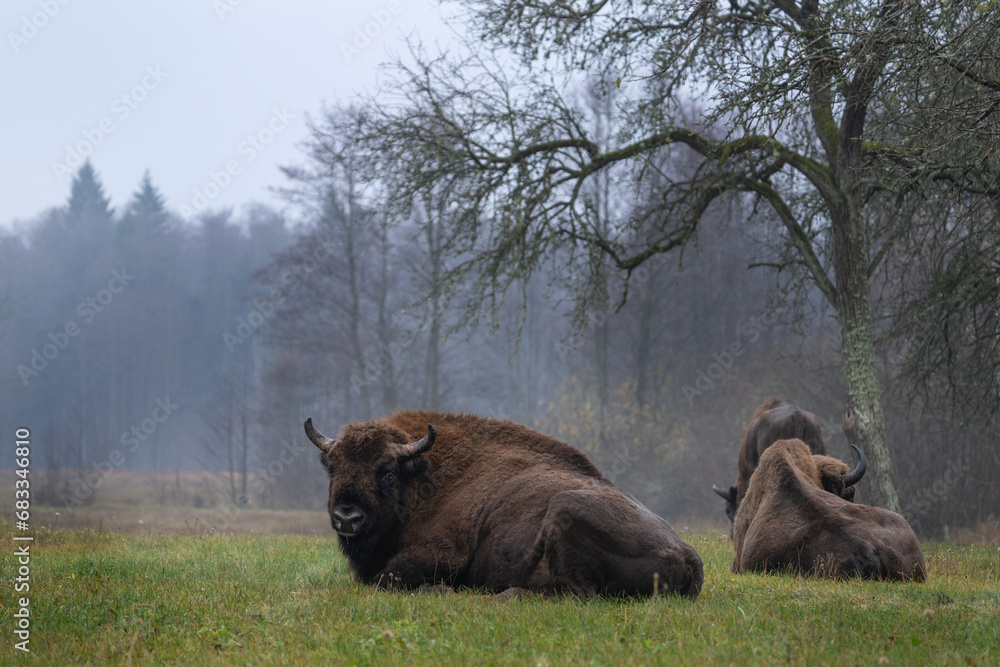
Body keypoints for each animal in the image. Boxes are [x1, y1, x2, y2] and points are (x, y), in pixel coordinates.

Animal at [304, 410, 704, 596]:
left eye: (387, 471)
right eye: (332, 467)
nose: (347, 517)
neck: (424, 478)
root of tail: (688, 555)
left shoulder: (440, 553)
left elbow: (385, 579)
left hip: (565, 509)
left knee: (574, 595)